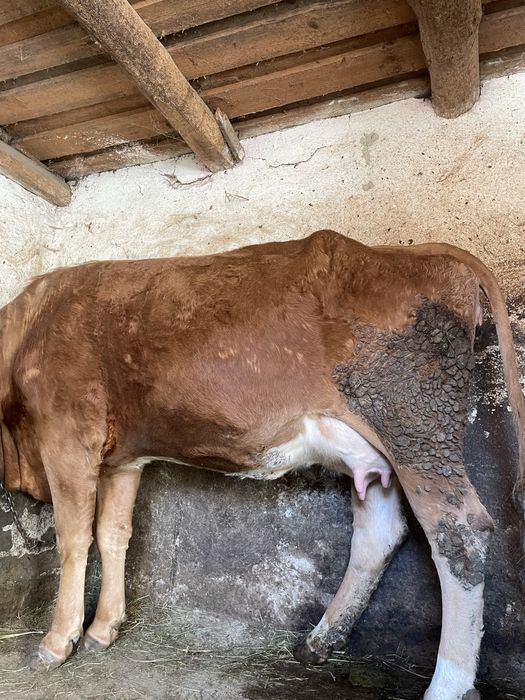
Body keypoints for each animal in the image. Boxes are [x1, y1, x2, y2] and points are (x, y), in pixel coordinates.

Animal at [0, 230, 523, 700]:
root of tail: (416, 251)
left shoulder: (67, 436)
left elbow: (73, 539)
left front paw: (57, 641)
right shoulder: (123, 458)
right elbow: (112, 535)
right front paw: (104, 628)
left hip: (417, 426)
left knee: (460, 535)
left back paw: (449, 684)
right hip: (379, 452)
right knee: (379, 533)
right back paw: (319, 641)